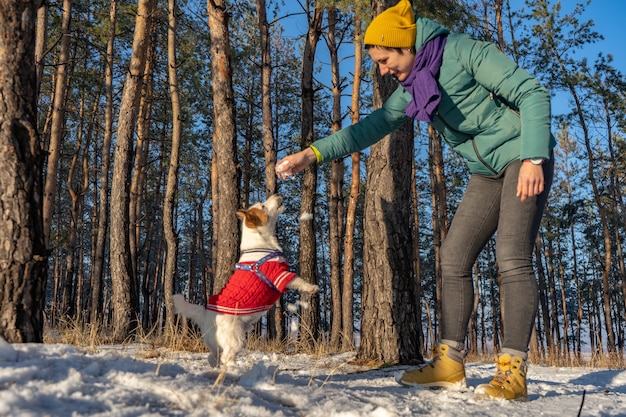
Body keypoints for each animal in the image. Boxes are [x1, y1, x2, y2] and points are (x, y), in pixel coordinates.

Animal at [173, 193, 316, 366]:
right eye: (263, 206)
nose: (276, 194)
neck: (261, 243)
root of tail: (205, 314)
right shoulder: (279, 275)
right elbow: (298, 280)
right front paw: (312, 288)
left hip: (215, 344)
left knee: (212, 357)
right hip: (235, 338)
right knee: (227, 357)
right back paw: (235, 368)